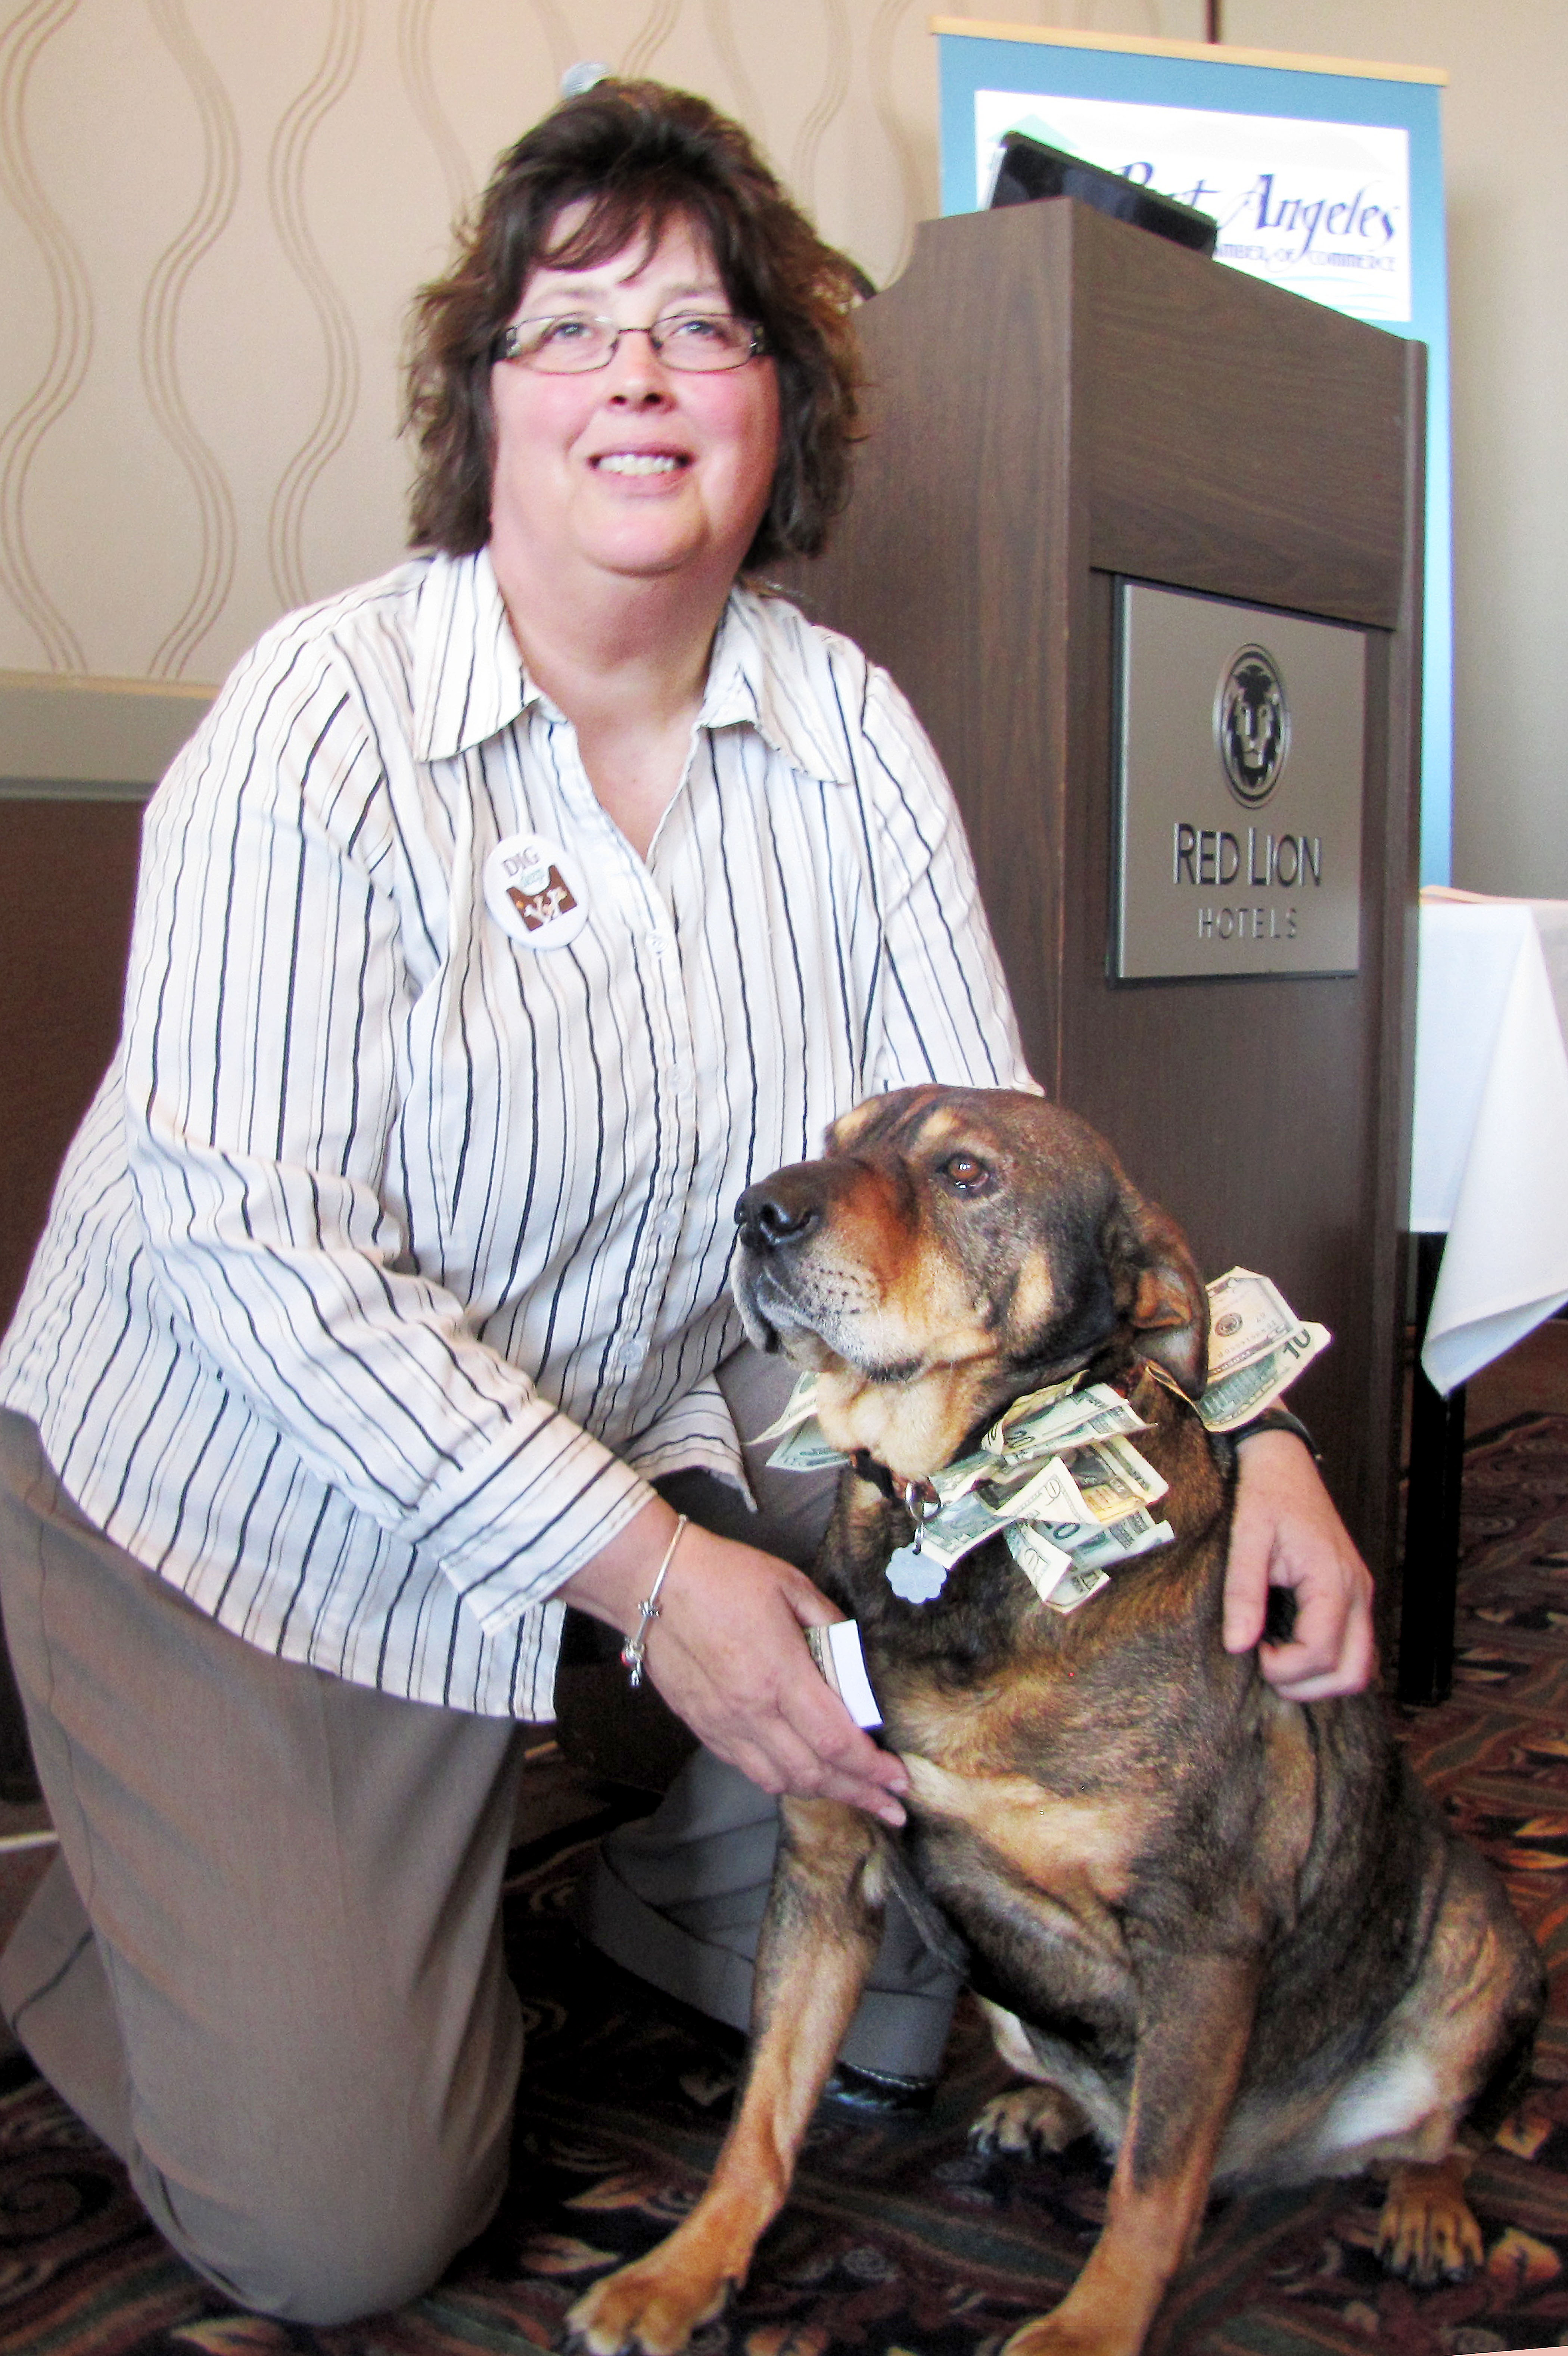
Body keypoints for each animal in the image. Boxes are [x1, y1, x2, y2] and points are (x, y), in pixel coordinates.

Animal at [565, 1093, 1535, 2356]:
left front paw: (1090, 2327)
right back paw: (1042, 2109)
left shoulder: (1200, 1933)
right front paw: (682, 2268)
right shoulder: (823, 1873)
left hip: (1473, 1953)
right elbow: (762, 2115)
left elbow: (1154, 2187)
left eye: (968, 1175)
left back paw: (1425, 2210)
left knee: (1432, 2128)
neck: (956, 1518)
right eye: (832, 1136)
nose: (757, 1209)